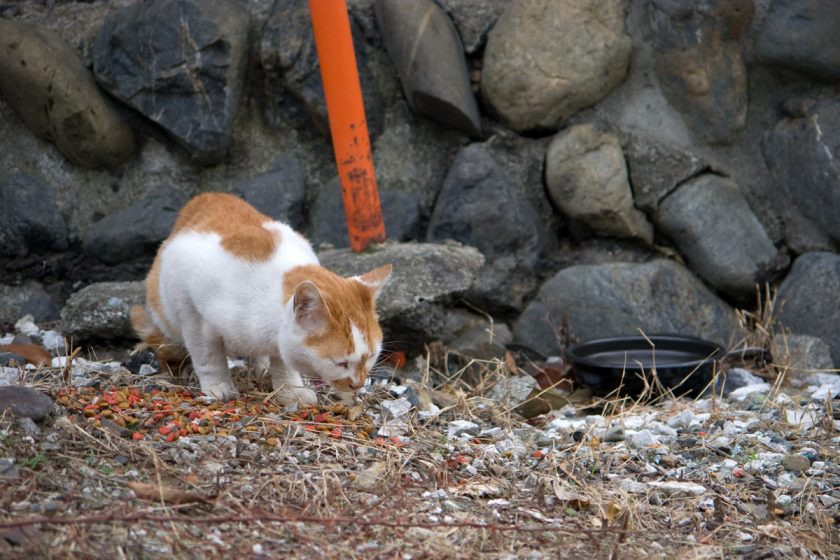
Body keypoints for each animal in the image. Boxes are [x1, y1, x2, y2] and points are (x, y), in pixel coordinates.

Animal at [130, 192, 392, 402]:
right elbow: (208, 357)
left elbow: (282, 361)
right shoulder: (190, 306)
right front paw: (218, 386)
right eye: (341, 363)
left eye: (370, 357)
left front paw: (290, 390)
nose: (358, 383)